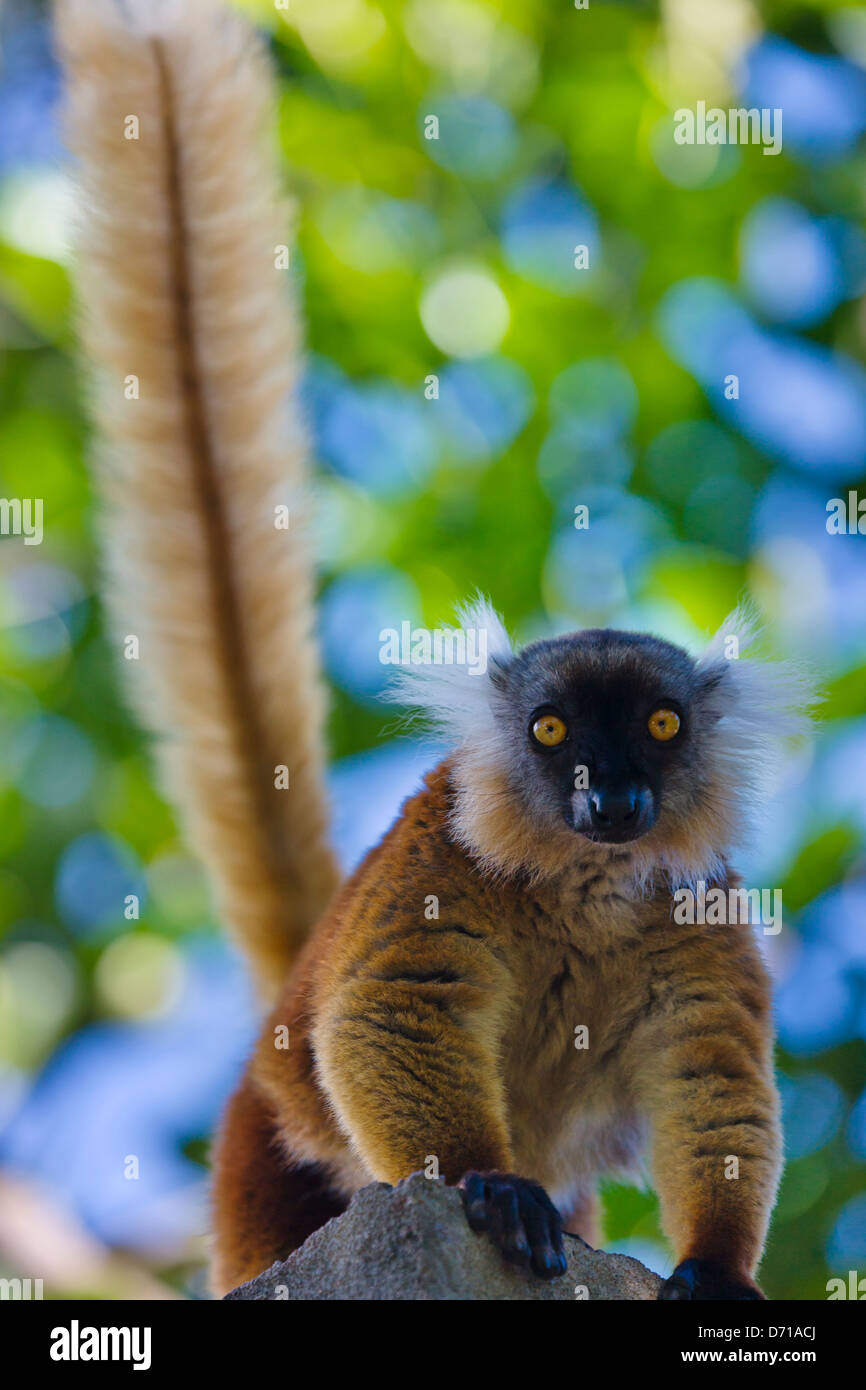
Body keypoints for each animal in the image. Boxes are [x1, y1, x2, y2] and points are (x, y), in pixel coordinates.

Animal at [56, 0, 813, 1300]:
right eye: (551, 731)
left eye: (659, 726)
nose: (611, 797)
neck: (584, 890)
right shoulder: (438, 865)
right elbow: (391, 1015)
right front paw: (489, 1185)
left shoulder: (698, 919)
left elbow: (711, 1080)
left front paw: (713, 1270)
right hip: (263, 1145)